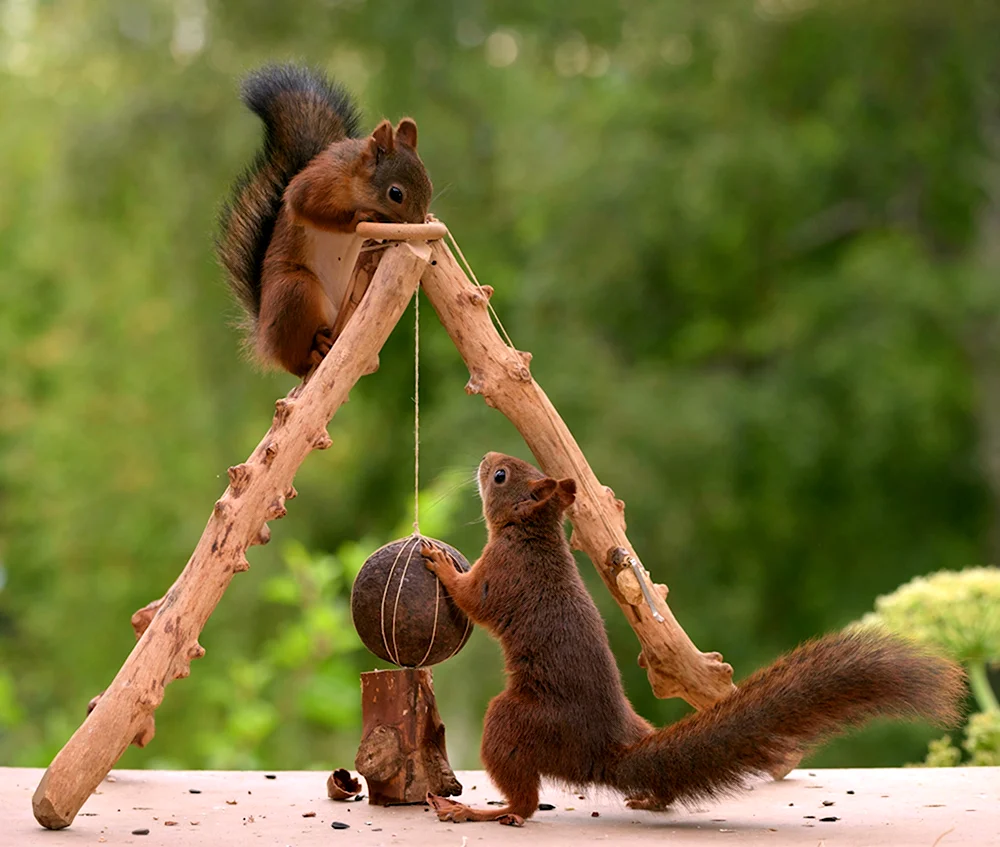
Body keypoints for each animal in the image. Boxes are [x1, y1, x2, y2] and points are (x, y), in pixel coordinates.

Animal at [217, 63, 433, 377]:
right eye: (396, 194)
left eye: (429, 184)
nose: (417, 222)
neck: (353, 177)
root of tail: (264, 336)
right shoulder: (314, 186)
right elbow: (310, 209)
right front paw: (360, 218)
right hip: (294, 291)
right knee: (295, 361)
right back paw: (314, 350)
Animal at [420, 452, 966, 827]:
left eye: (501, 476)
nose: (486, 458)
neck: (530, 534)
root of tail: (604, 752)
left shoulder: (501, 576)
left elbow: (471, 598)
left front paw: (440, 564)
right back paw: (650, 796)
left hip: (513, 720)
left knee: (527, 803)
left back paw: (480, 811)